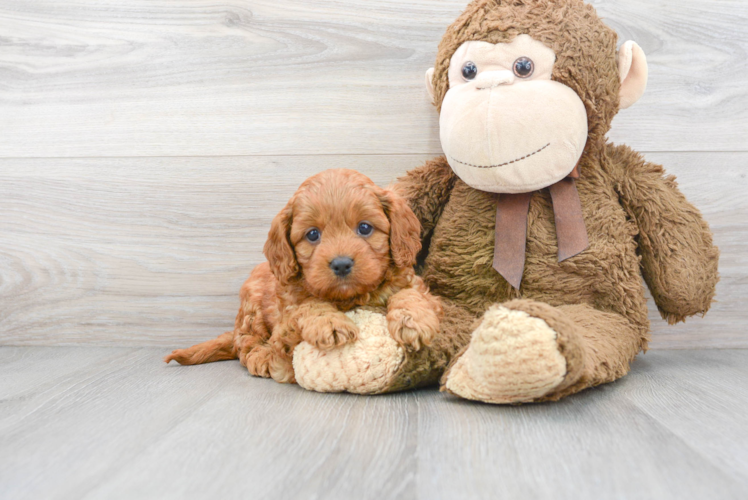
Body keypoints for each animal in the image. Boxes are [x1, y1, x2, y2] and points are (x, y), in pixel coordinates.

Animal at [165, 168, 444, 382]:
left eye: (365, 228)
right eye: (312, 234)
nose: (341, 264)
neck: (349, 298)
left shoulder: (417, 286)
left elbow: (410, 294)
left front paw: (413, 320)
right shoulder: (284, 320)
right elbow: (309, 305)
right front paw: (329, 322)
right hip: (251, 307)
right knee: (246, 344)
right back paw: (261, 356)